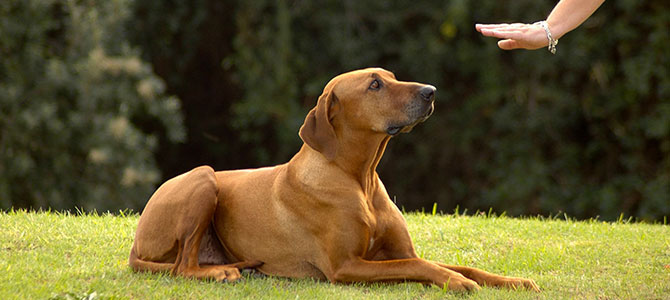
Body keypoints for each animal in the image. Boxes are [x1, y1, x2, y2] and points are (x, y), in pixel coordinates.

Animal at [130, 67, 540, 292]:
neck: (360, 179)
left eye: (391, 77)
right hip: (203, 178)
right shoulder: (346, 267)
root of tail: (136, 243)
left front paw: (513, 282)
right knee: (182, 267)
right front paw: (456, 283)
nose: (431, 91)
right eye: (374, 85)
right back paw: (221, 273)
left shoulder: (400, 250)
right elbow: (420, 267)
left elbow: (456, 264)